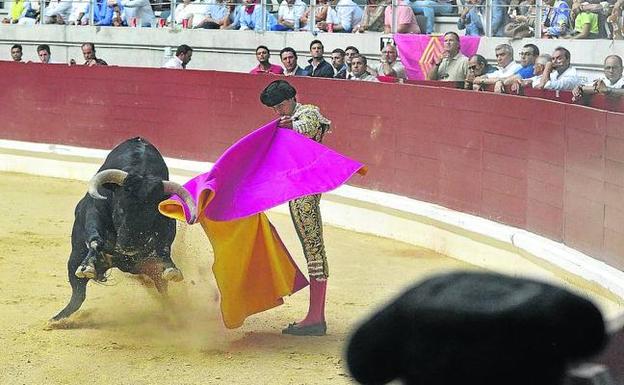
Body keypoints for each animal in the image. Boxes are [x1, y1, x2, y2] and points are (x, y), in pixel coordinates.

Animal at [52, 136, 196, 320]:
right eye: (120, 210)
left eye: (151, 216)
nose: (128, 248)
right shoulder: (94, 208)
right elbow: (95, 237)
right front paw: (88, 265)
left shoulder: (166, 221)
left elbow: (163, 247)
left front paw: (171, 269)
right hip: (74, 257)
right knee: (78, 293)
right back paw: (58, 319)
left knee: (162, 289)